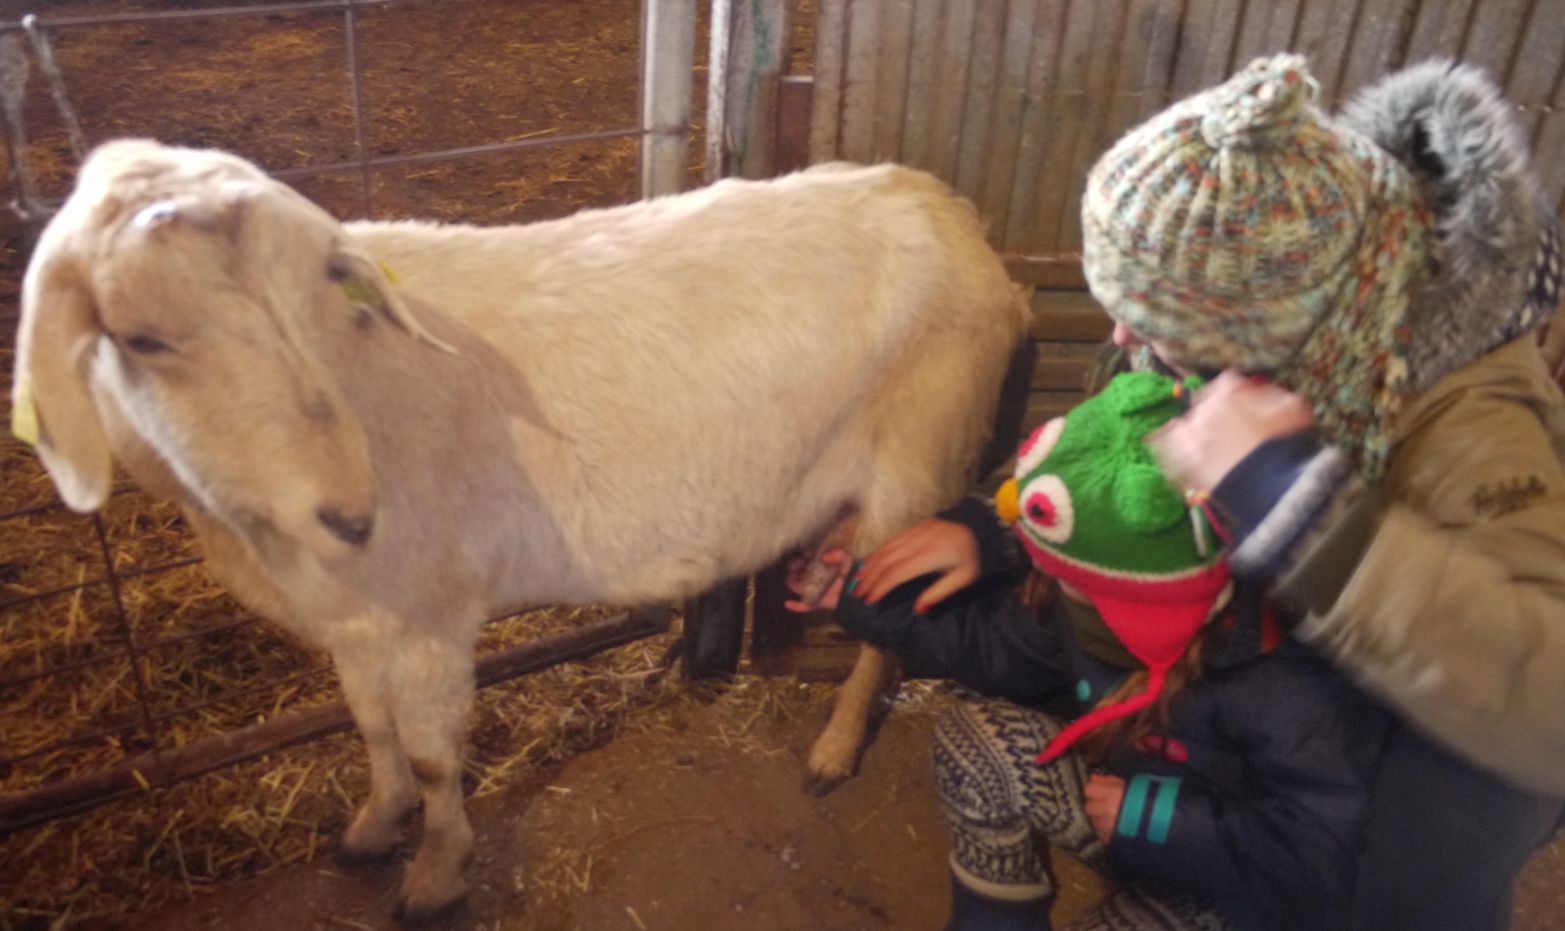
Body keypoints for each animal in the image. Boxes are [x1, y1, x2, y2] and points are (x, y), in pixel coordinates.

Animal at [13, 138, 1029, 921]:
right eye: (141, 338)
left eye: (321, 302)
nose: (349, 510)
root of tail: (952, 215)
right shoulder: (358, 615)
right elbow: (370, 727)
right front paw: (373, 826)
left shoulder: (430, 612)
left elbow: (431, 756)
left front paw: (435, 874)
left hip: (917, 456)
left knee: (886, 618)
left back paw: (832, 751)